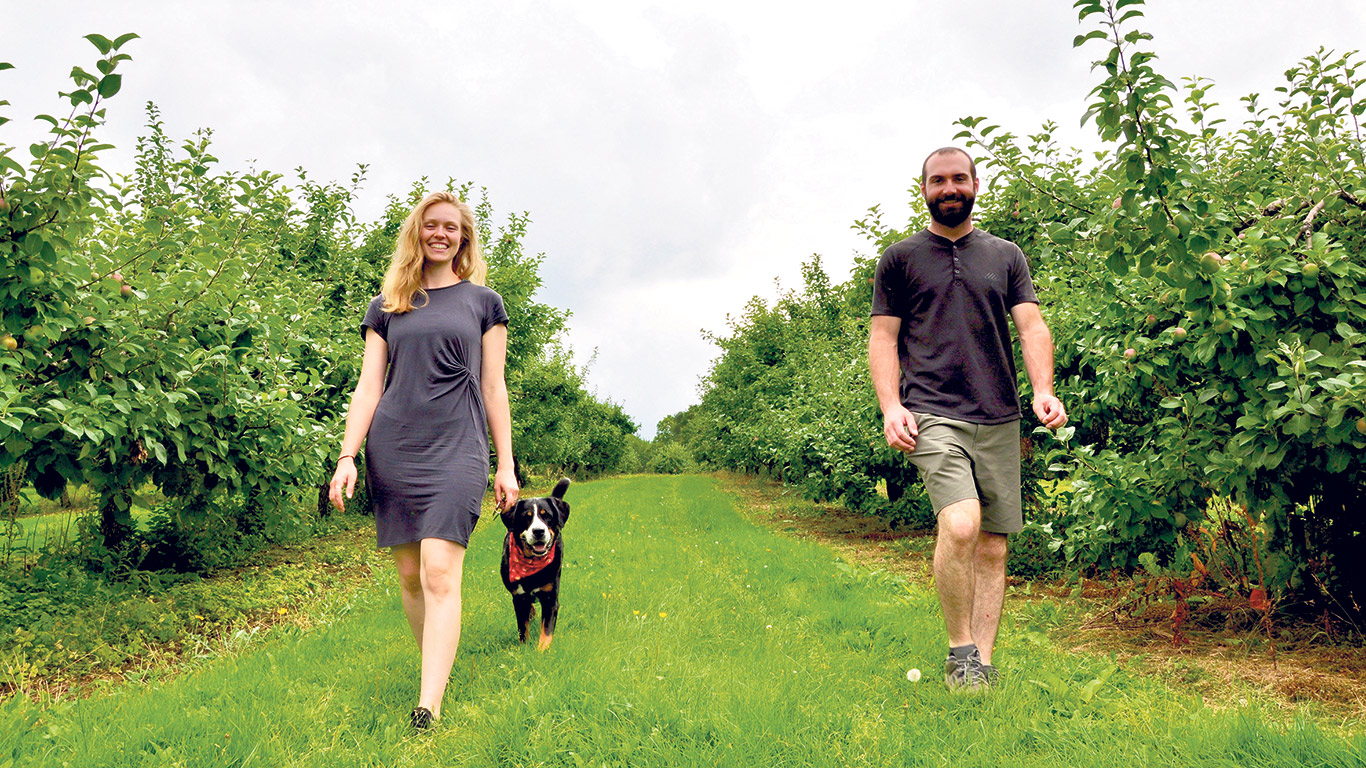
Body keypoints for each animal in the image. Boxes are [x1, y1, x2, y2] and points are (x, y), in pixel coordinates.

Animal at [499, 478, 568, 645]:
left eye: (547, 515)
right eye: (526, 516)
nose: (538, 531)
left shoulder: (550, 598)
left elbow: (547, 631)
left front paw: (542, 649)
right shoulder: (518, 597)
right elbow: (523, 628)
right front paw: (525, 647)